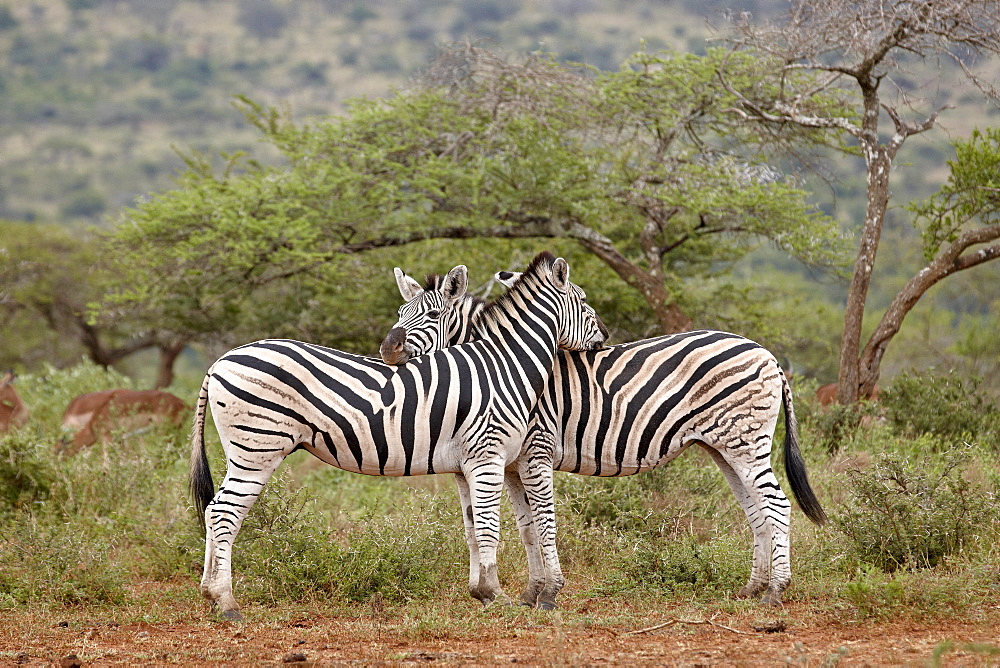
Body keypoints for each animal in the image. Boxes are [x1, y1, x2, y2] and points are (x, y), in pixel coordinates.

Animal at [190, 252, 604, 620]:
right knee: (225, 512)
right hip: (258, 446)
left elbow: (473, 528)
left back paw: (209, 593)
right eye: (584, 300)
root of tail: (219, 361)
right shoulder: (489, 455)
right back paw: (227, 602)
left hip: (244, 449)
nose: (604, 336)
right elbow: (491, 528)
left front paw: (482, 593)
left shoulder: (465, 464)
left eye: (432, 315)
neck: (502, 365)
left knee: (213, 510)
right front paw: (497, 597)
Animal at [378, 264, 824, 608]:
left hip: (745, 441)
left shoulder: (535, 449)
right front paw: (530, 593)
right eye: (401, 311)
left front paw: (546, 594)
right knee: (756, 510)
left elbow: (542, 522)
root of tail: (765, 353)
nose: (387, 349)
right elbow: (526, 527)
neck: (502, 365)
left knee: (776, 504)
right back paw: (752, 588)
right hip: (725, 447)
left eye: (433, 315)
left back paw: (775, 592)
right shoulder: (510, 463)